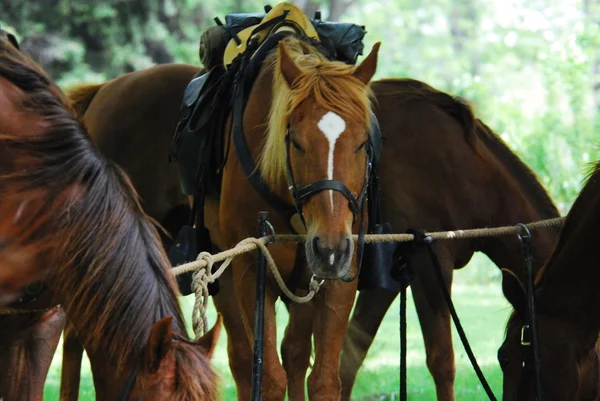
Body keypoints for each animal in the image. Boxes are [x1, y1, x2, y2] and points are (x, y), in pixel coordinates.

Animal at [69, 61, 564, 398]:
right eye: (508, 356)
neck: (456, 162)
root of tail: (102, 93)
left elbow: (325, 360)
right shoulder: (425, 264)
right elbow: (435, 360)